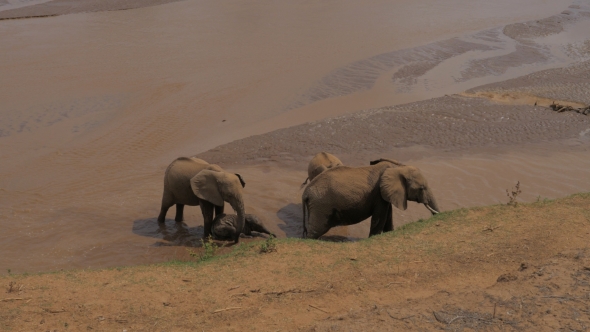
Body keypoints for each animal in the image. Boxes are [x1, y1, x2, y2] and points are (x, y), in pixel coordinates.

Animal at [306, 158, 440, 239]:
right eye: (422, 188)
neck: (397, 168)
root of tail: (306, 192)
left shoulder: (385, 195)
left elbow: (388, 216)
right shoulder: (378, 195)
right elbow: (379, 218)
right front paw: (373, 238)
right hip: (321, 207)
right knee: (316, 231)